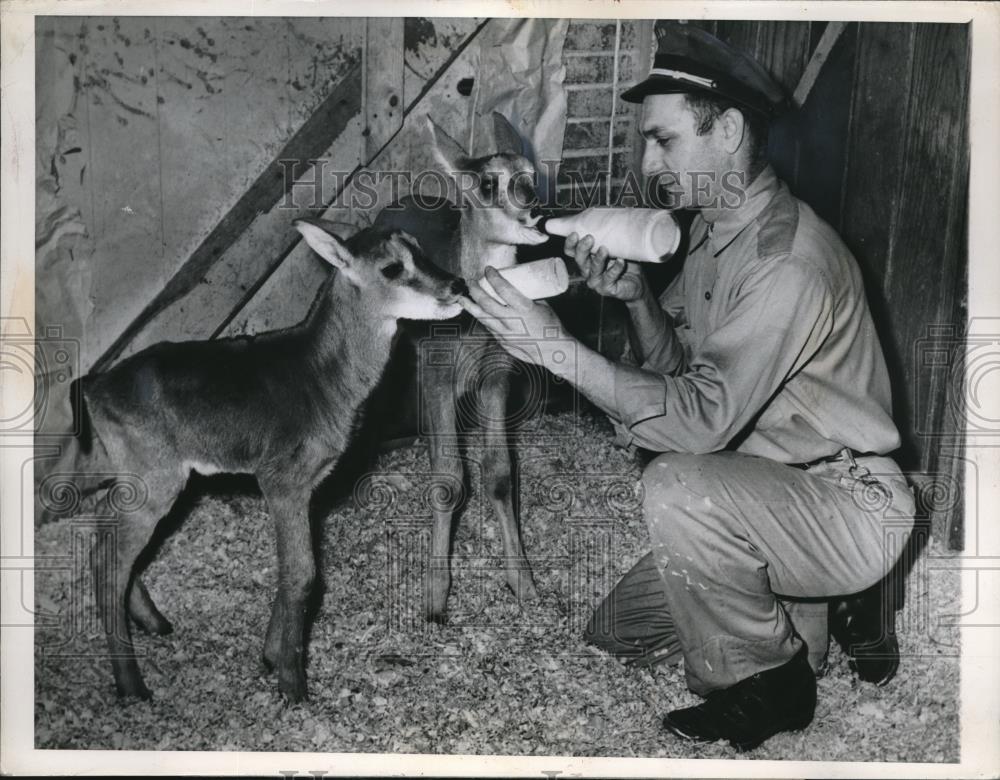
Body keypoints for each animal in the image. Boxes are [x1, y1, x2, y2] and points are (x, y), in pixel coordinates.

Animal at [39, 222, 468, 704]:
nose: (457, 285)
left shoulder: (308, 487)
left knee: (98, 525)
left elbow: (294, 570)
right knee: (108, 561)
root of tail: (93, 384)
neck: (322, 378)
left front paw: (270, 656)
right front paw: (293, 685)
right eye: (392, 267)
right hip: (154, 478)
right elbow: (302, 573)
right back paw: (134, 686)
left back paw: (155, 623)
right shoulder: (282, 480)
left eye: (422, 251)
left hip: (124, 468)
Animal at [376, 112, 548, 620]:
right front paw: (434, 596)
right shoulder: (435, 373)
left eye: (531, 174)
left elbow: (499, 473)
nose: (534, 211)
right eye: (489, 184)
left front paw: (523, 581)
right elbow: (450, 477)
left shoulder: (497, 374)